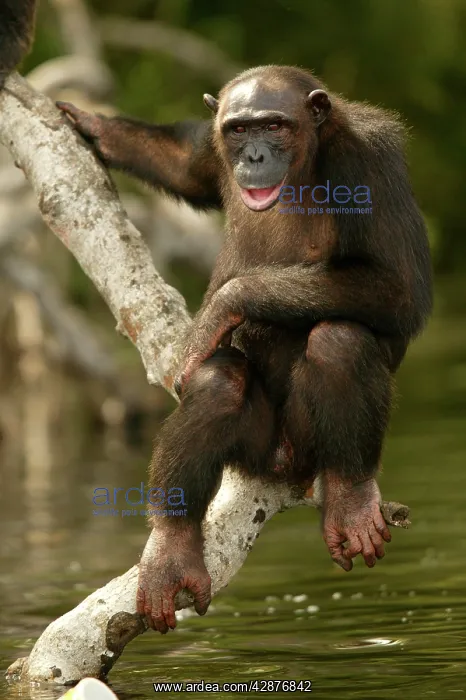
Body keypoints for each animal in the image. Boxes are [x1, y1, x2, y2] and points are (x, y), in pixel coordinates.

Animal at [57, 64, 433, 634]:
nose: (254, 155)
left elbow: (397, 286)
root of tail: (281, 463)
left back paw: (350, 497)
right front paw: (93, 124)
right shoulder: (213, 152)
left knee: (340, 341)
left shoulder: (372, 162)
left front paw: (225, 303)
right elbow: (184, 166)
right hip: (254, 443)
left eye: (274, 125)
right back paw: (172, 550)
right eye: (238, 130)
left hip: (306, 440)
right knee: (218, 385)